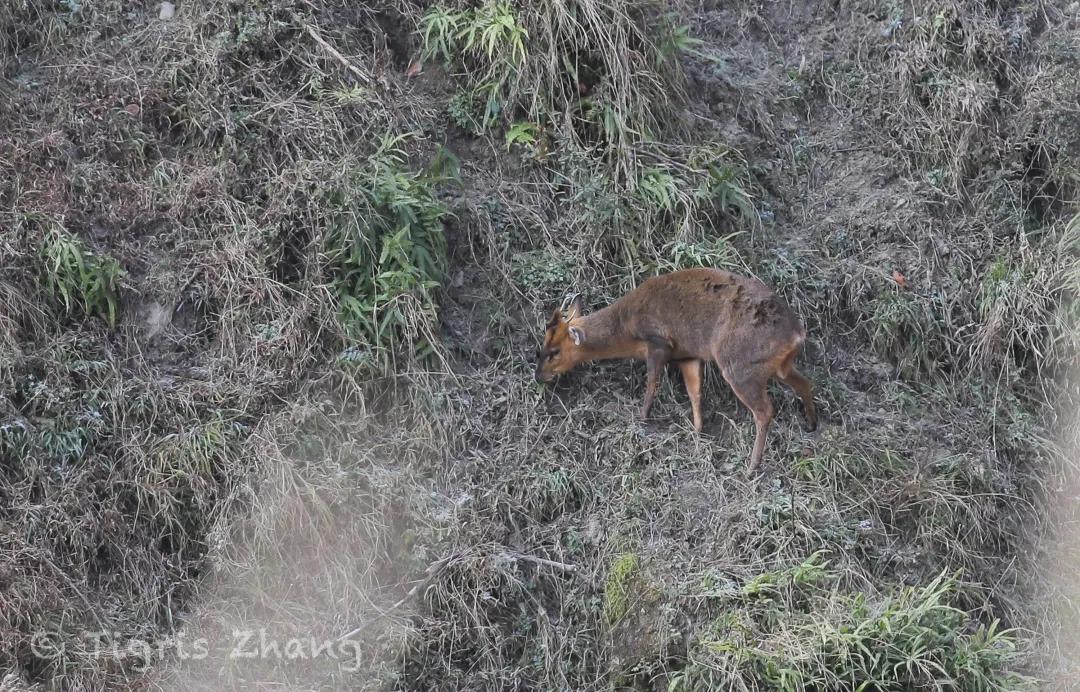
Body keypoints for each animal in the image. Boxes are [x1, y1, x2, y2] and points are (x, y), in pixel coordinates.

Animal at [531, 265, 816, 470]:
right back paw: (811, 424)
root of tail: (796, 334)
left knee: (765, 410)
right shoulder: (687, 355)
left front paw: (642, 417)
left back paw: (752, 466)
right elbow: (695, 392)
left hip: (739, 364)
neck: (626, 327)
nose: (538, 375)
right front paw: (698, 430)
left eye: (554, 352)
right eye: (542, 345)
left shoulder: (659, 341)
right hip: (779, 365)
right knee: (804, 382)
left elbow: (652, 382)